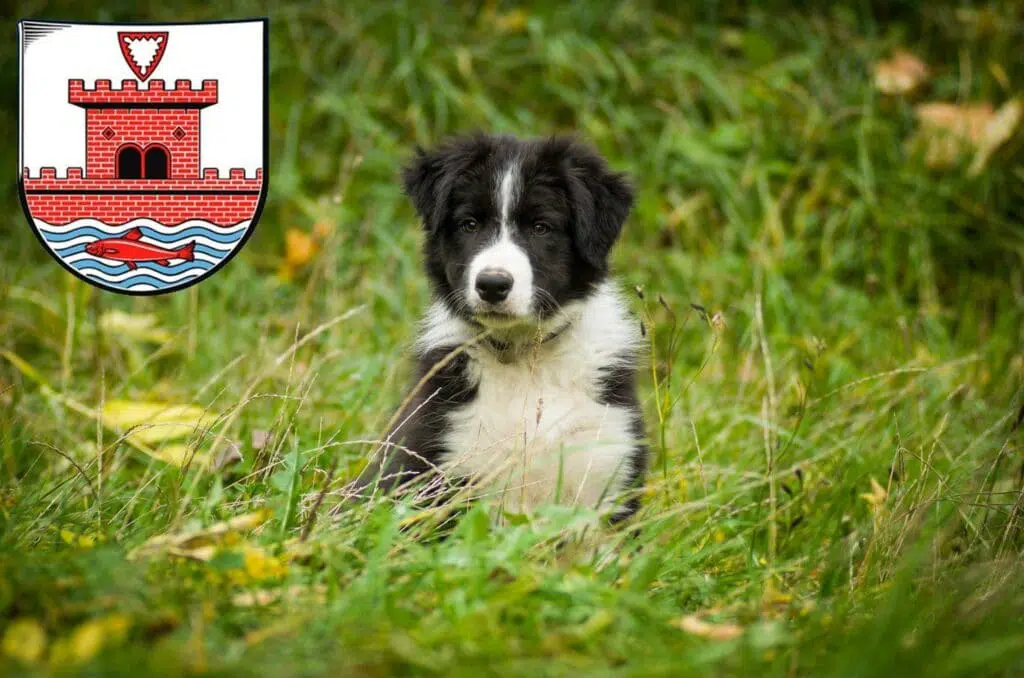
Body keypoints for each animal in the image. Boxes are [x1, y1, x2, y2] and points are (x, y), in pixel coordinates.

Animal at [348, 134, 643, 524]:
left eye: (541, 227)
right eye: (470, 224)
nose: (492, 284)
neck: (525, 357)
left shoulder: (608, 461)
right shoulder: (439, 457)